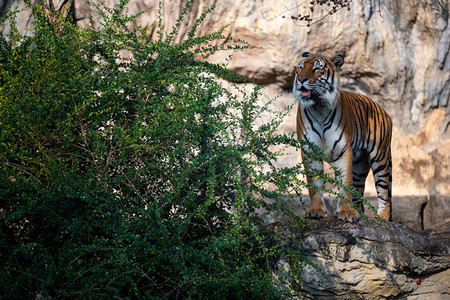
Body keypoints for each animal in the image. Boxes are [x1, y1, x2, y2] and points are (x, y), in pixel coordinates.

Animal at [294, 52, 392, 223]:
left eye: (317, 68)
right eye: (300, 67)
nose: (300, 79)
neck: (318, 107)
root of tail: (384, 111)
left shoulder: (343, 150)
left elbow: (345, 183)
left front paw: (347, 212)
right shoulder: (310, 150)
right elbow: (314, 185)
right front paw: (315, 210)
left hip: (379, 158)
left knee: (384, 192)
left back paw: (382, 218)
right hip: (359, 167)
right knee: (359, 195)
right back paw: (361, 213)